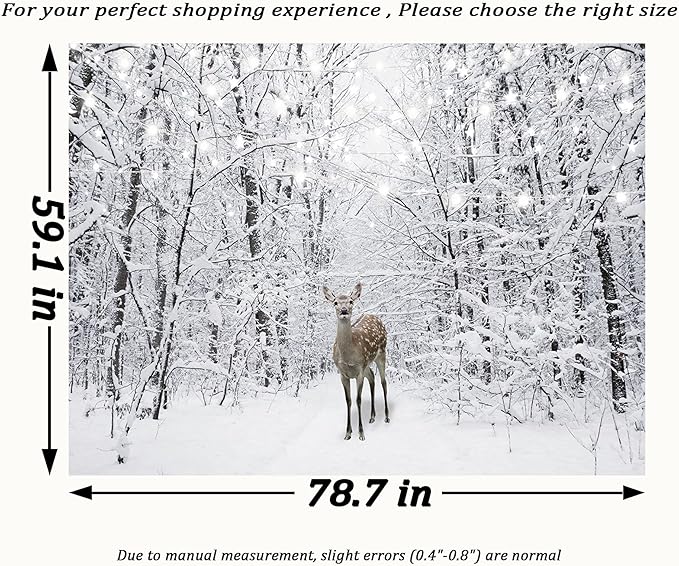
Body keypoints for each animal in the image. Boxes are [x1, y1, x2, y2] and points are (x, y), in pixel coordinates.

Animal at [322, 282, 389, 441]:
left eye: (351, 301)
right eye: (335, 302)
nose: (344, 310)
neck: (348, 356)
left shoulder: (358, 372)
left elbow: (358, 400)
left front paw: (361, 433)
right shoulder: (343, 374)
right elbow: (348, 400)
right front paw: (348, 433)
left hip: (382, 353)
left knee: (383, 381)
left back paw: (386, 417)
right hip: (367, 364)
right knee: (372, 377)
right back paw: (372, 416)